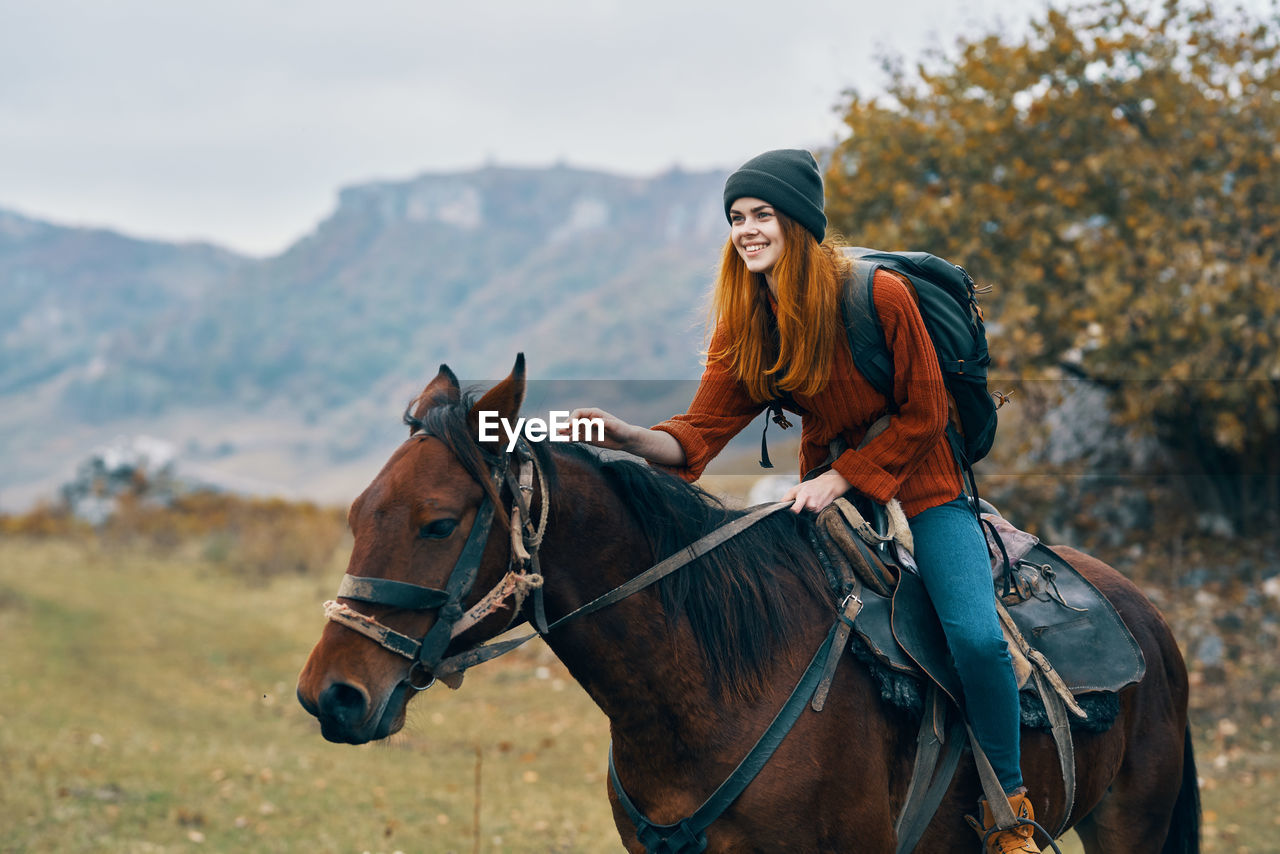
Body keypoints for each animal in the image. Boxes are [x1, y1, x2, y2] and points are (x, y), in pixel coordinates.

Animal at [296, 358, 1198, 850]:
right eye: (358, 513)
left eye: (438, 522)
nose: (329, 696)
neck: (711, 692)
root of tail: (1146, 617)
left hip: (1129, 826)